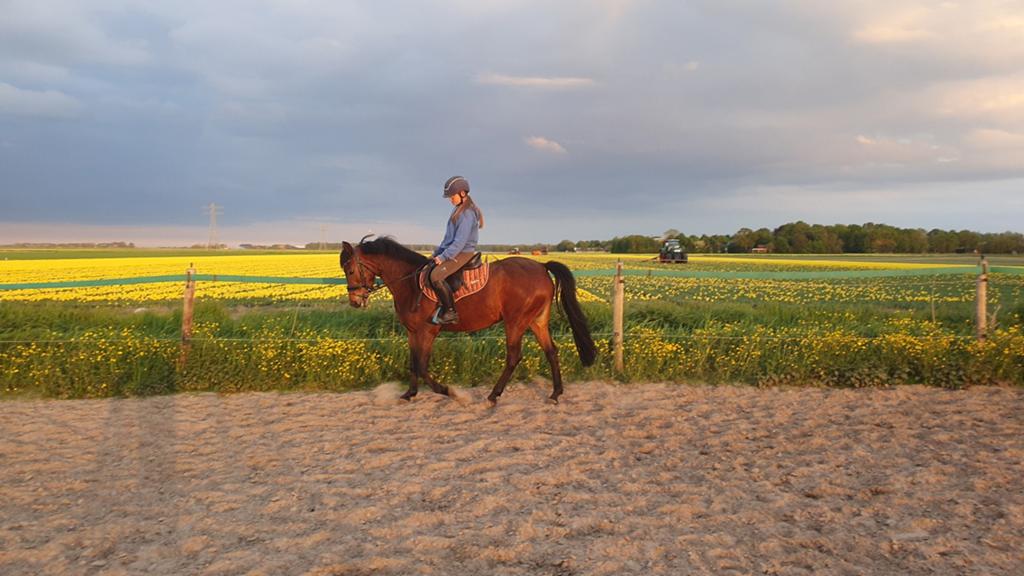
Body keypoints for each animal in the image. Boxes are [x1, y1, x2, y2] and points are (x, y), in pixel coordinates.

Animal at [340, 236, 597, 404]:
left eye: (350, 270)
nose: (355, 301)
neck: (410, 283)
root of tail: (542, 267)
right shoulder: (412, 332)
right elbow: (413, 364)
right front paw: (409, 394)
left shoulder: (427, 332)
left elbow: (422, 367)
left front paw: (449, 392)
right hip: (537, 320)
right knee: (551, 351)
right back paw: (555, 394)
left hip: (515, 321)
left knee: (514, 356)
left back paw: (493, 396)